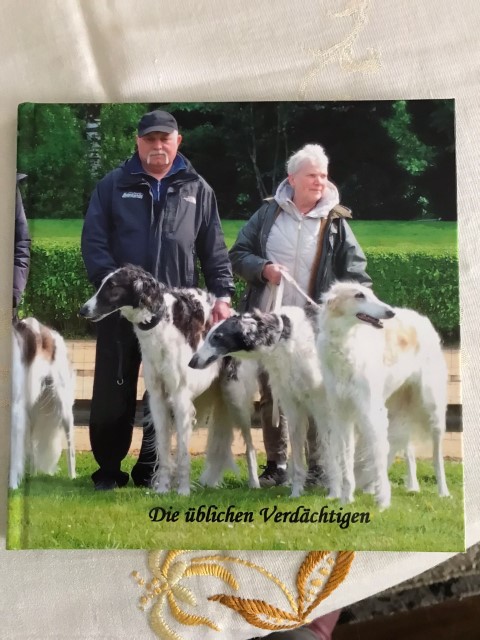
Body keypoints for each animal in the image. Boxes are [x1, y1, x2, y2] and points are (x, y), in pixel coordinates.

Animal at [10, 318, 76, 489]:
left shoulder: (15, 410)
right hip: (32, 412)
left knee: (70, 447)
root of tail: (50, 331)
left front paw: (12, 485)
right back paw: (32, 475)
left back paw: (73, 476)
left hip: (64, 408)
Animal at [189, 305, 328, 498]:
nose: (192, 362)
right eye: (208, 335)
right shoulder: (294, 403)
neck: (283, 334)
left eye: (217, 337)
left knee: (250, 449)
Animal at [316, 281, 450, 509]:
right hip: (397, 408)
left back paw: (443, 492)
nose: (390, 312)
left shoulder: (370, 411)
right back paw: (411, 486)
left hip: (432, 408)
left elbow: (378, 455)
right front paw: (346, 499)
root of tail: (422, 319)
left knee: (436, 456)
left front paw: (383, 502)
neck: (346, 345)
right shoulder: (343, 415)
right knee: (408, 448)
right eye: (359, 295)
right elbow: (347, 460)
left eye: (372, 293)